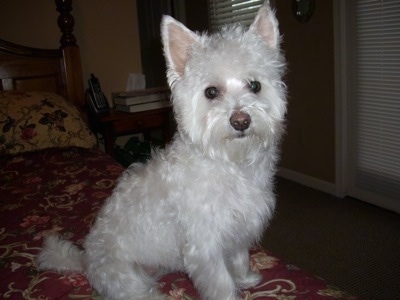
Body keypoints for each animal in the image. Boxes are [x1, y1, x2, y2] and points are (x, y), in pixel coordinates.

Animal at [37, 2, 286, 300]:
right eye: (211, 92)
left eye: (255, 85)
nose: (241, 121)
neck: (230, 163)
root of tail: (85, 260)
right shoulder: (205, 246)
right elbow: (222, 283)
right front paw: (233, 291)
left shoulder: (239, 230)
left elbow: (239, 259)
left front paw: (246, 279)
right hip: (124, 276)